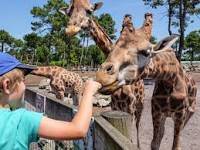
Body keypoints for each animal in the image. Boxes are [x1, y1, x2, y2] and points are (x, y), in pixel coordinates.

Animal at [59, 0, 153, 148]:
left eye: (89, 10)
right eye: (69, 12)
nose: (71, 29)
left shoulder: (130, 106)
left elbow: (130, 136)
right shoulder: (115, 105)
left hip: (140, 105)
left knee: (138, 127)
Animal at [95, 14, 197, 150]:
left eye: (146, 52)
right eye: (113, 47)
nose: (102, 76)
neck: (170, 78)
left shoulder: (180, 114)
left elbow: (176, 146)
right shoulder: (156, 111)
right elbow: (154, 143)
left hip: (188, 113)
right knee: (161, 132)